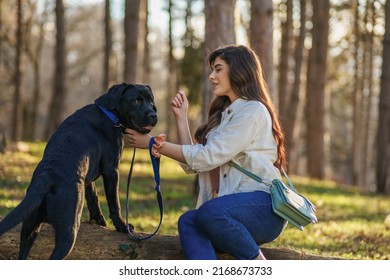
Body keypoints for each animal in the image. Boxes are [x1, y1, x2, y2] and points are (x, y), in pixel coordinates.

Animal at [0, 82, 157, 260]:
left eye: (151, 101)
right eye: (136, 101)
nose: (153, 115)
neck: (109, 114)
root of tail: (46, 178)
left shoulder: (87, 177)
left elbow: (93, 197)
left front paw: (98, 220)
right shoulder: (111, 170)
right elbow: (114, 203)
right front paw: (123, 227)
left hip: (29, 228)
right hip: (68, 232)